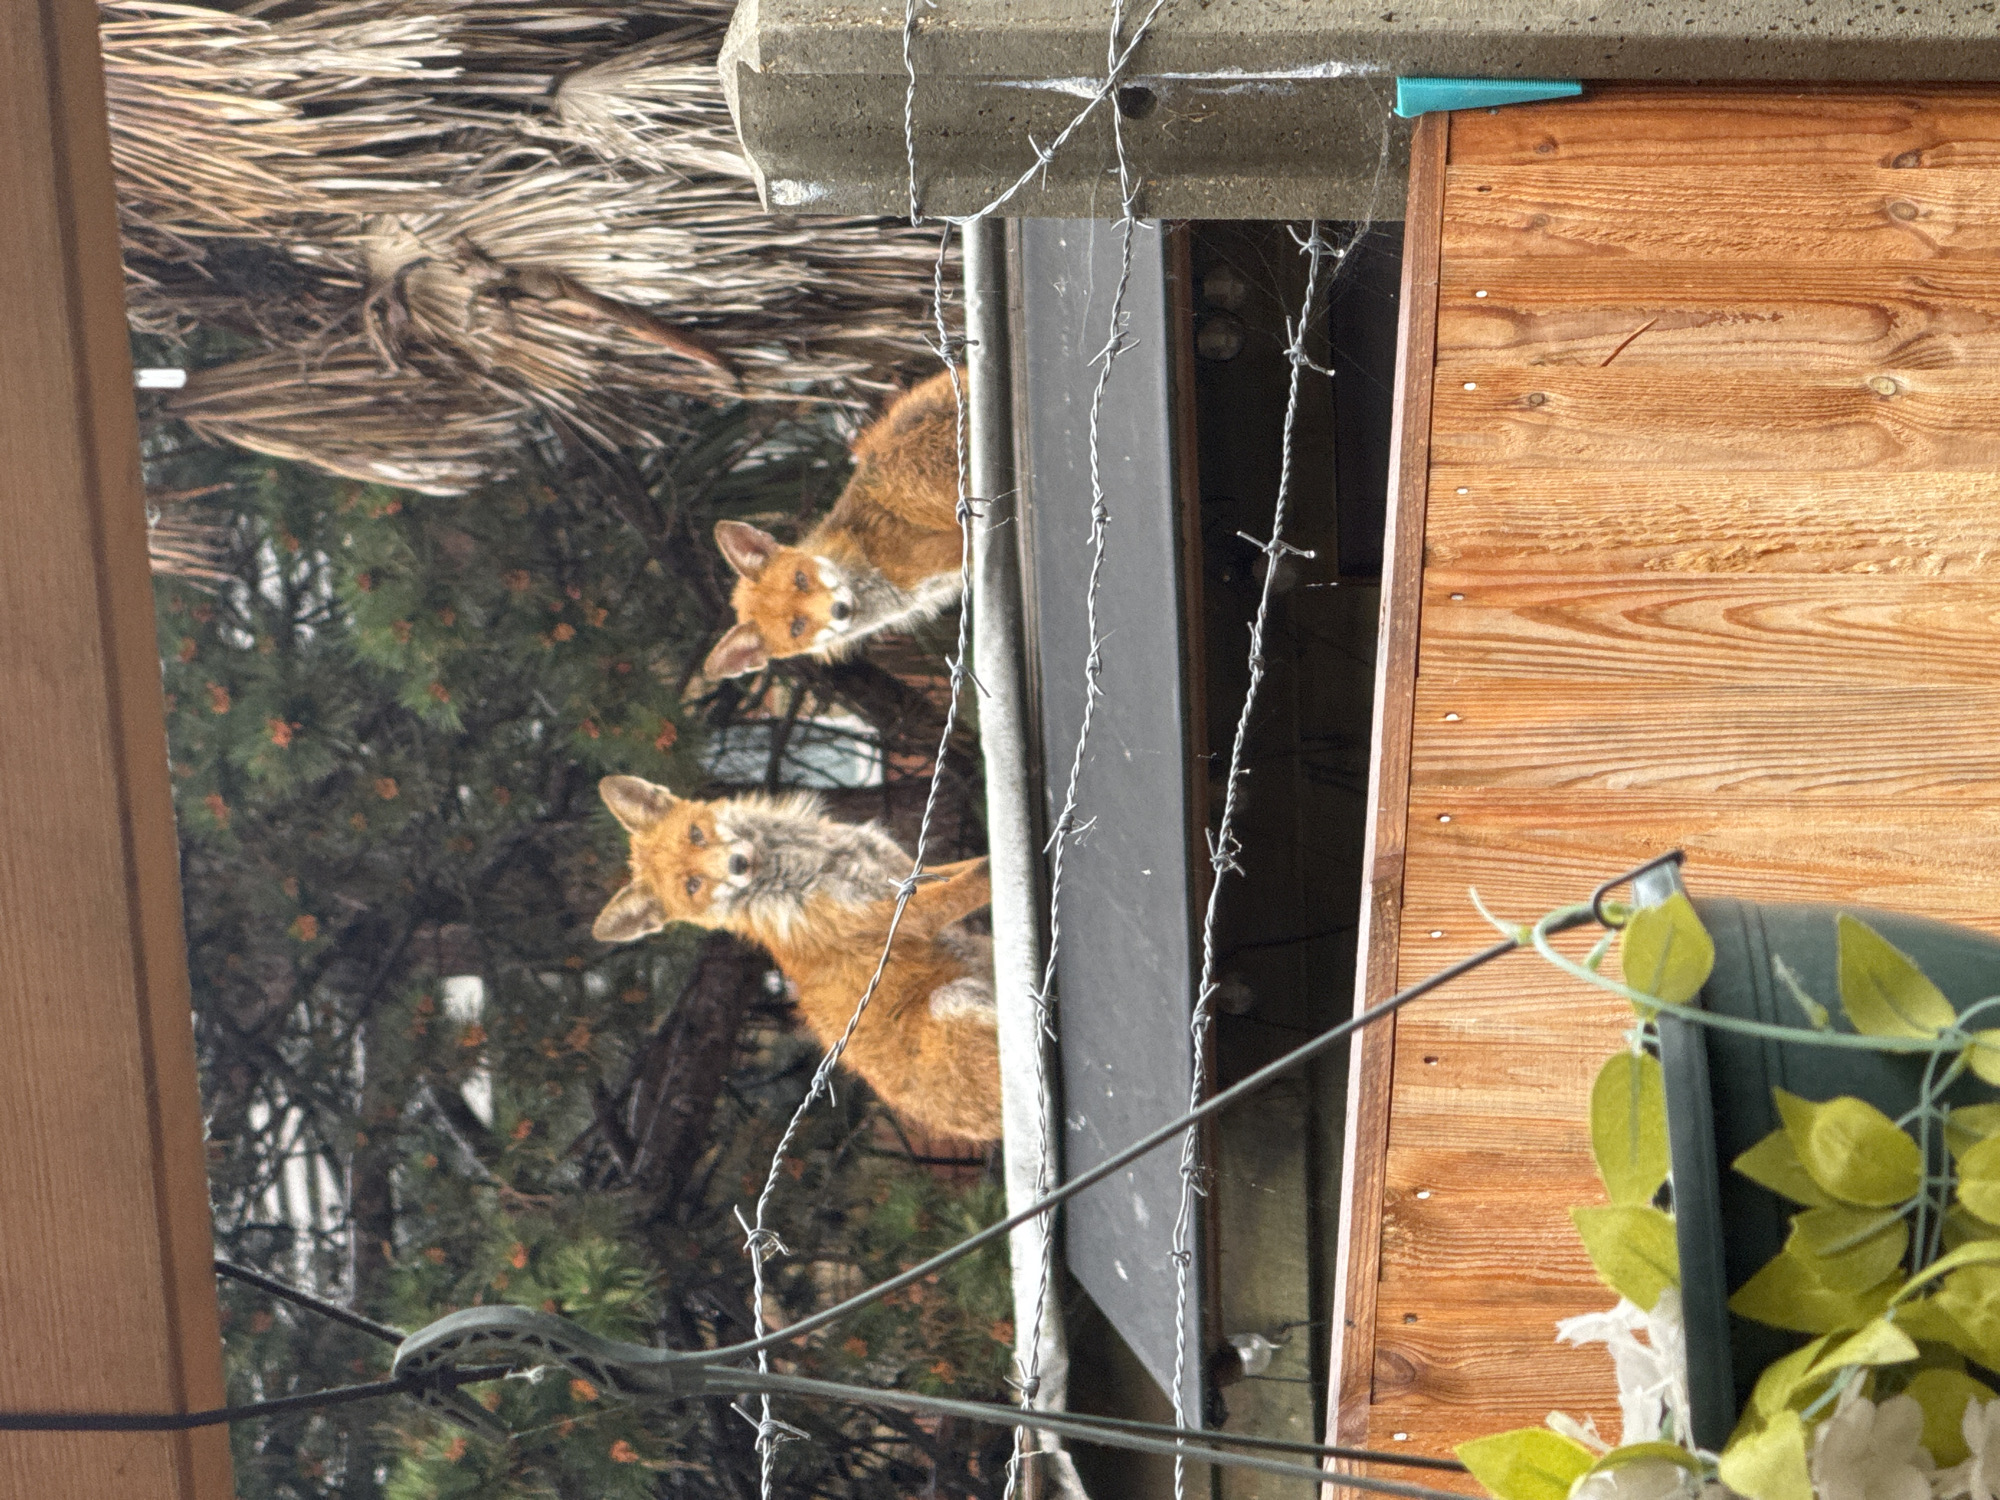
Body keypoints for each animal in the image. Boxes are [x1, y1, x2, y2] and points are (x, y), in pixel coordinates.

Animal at [590, 774, 1001, 1141]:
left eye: (696, 834)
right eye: (693, 886)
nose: (738, 864)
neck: (808, 873)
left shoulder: (905, 873)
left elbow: (964, 869)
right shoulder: (902, 916)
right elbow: (978, 878)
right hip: (954, 1000)